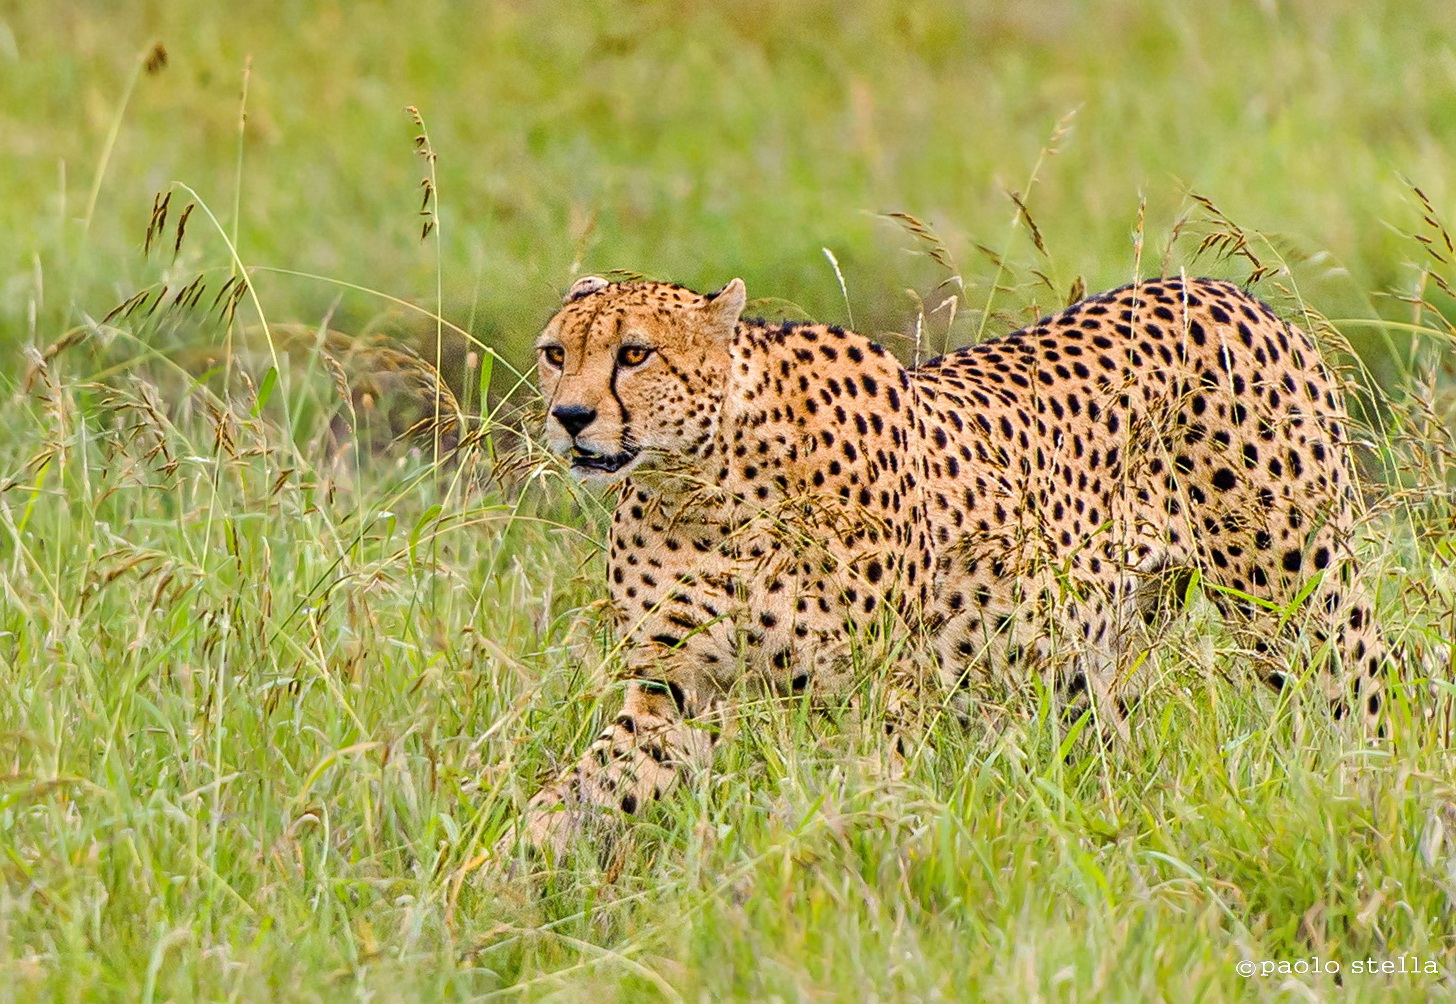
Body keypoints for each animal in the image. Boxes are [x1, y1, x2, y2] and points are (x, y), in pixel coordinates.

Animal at [511, 272, 1394, 859]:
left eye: (634, 354)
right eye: (555, 352)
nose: (570, 416)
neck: (701, 482)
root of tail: (1218, 288)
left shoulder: (878, 691)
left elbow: (869, 799)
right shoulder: (676, 688)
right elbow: (589, 786)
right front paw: (502, 876)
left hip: (1295, 602)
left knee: (1367, 686)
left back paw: (1374, 798)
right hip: (1079, 659)